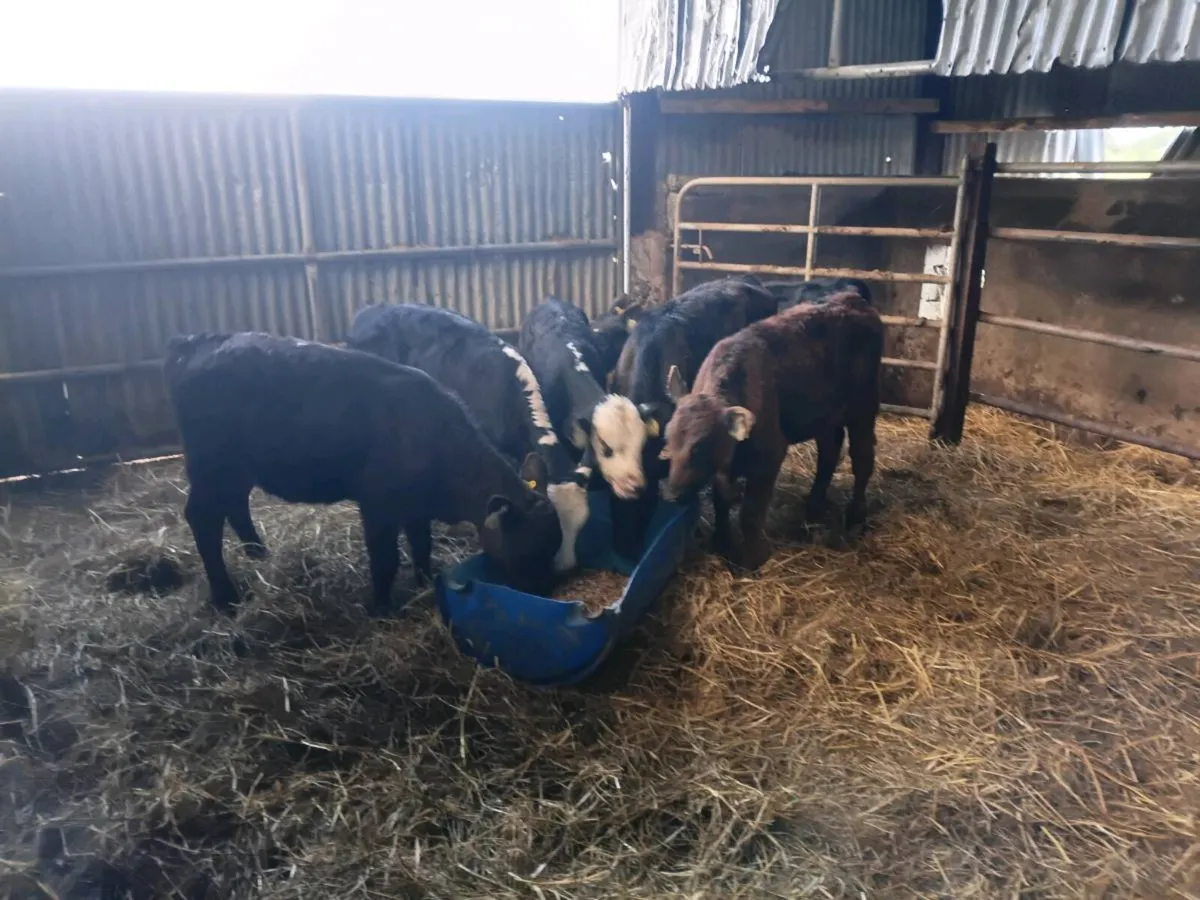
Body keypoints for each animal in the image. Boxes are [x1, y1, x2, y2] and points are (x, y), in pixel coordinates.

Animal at [164, 332, 562, 614]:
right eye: (527, 551)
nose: (544, 592)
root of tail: (197, 344)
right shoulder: (378, 504)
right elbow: (385, 558)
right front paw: (382, 607)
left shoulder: (416, 508)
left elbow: (421, 545)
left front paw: (423, 581)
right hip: (211, 465)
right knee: (202, 519)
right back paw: (225, 596)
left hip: (235, 469)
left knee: (234, 506)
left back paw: (258, 554)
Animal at [658, 291, 883, 571]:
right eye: (668, 438)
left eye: (700, 446)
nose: (671, 494)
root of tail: (853, 299)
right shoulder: (724, 466)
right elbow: (721, 501)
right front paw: (721, 542)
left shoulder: (769, 455)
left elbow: (751, 514)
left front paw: (752, 559)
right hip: (824, 416)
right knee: (829, 453)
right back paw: (813, 508)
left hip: (863, 409)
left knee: (862, 459)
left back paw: (855, 517)